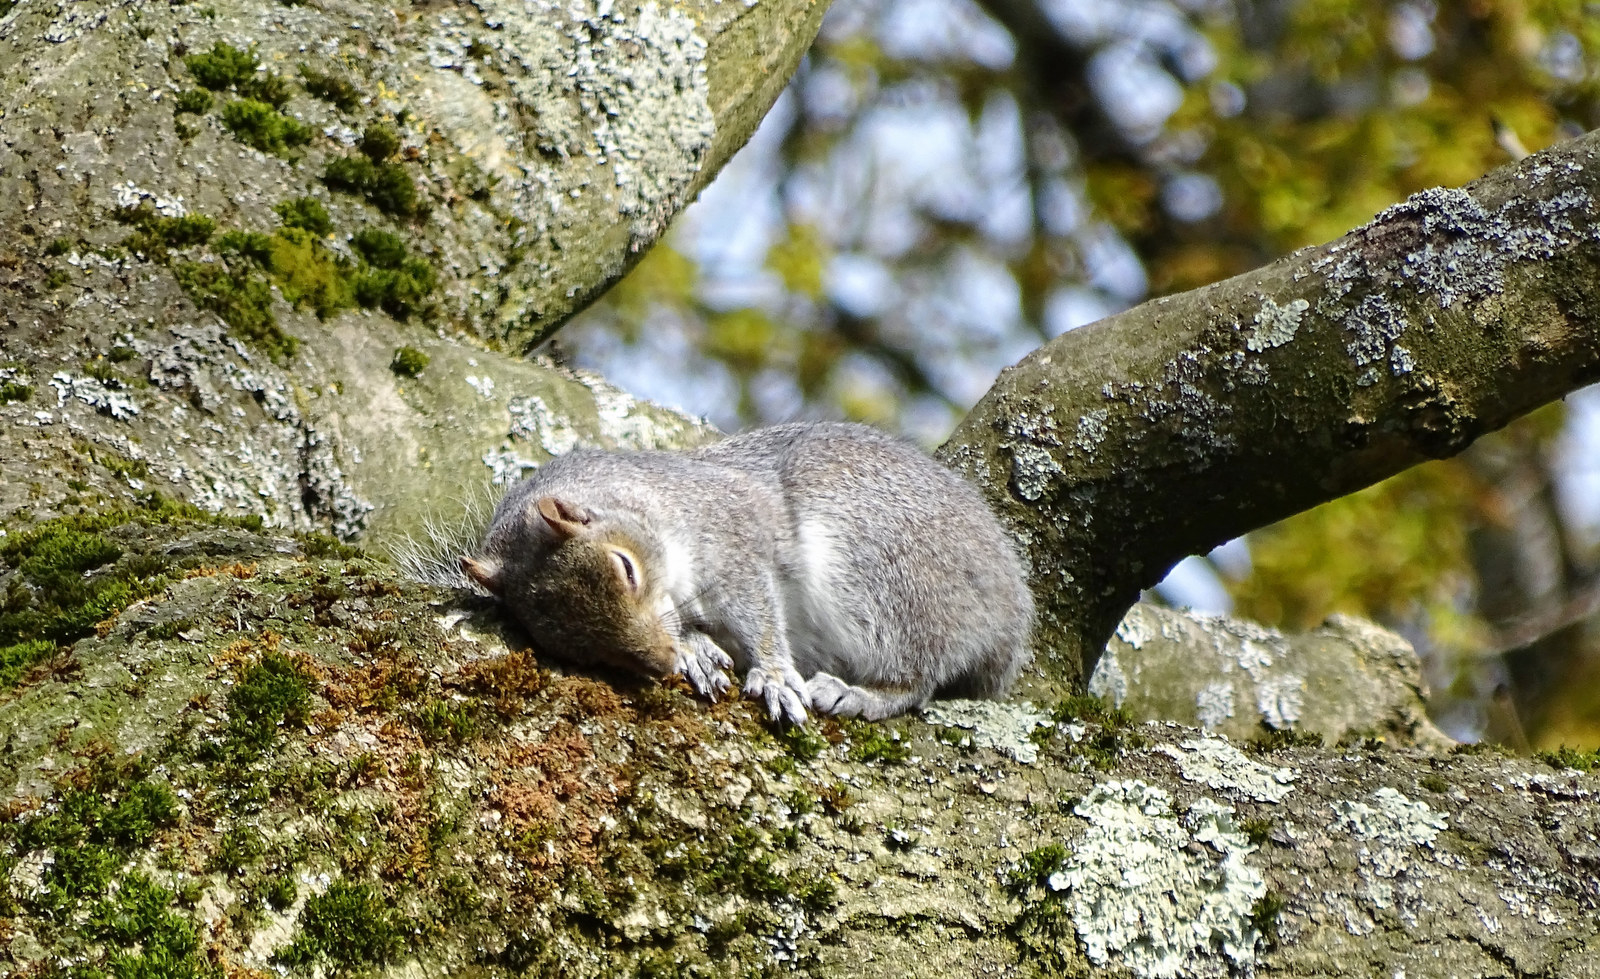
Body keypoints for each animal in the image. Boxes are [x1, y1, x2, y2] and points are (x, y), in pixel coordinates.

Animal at [460, 415, 1036, 723]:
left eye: (626, 568)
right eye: (578, 650)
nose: (660, 660)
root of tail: (1009, 612)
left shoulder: (732, 536)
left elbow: (756, 610)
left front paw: (774, 675)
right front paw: (693, 651)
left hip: (881, 579)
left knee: (917, 677)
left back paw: (858, 693)